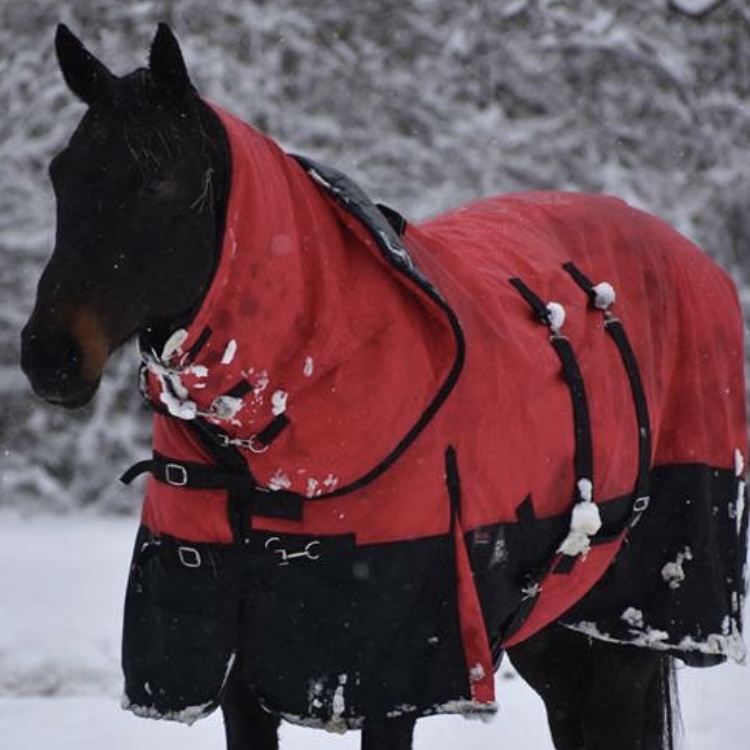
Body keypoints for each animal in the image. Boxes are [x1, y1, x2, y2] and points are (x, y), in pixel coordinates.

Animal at [20, 23, 748, 750]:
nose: (48, 356)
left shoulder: (393, 685)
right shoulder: (237, 681)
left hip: (622, 634)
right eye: (61, 174)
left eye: (162, 184)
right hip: (563, 638)